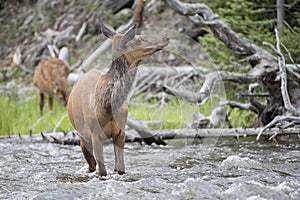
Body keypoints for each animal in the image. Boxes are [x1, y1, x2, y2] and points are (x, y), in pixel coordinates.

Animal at [67, 23, 169, 177]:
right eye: (139, 39)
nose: (165, 37)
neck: (108, 105)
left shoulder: (121, 132)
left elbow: (120, 168)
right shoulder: (95, 134)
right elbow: (102, 171)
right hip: (82, 136)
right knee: (91, 165)